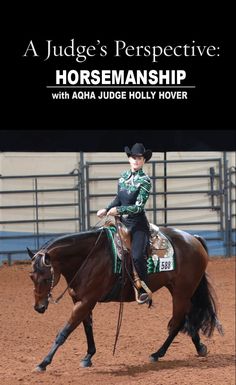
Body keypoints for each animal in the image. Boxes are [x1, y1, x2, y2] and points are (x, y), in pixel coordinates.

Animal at [27, 224, 223, 370]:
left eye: (47, 278)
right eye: (31, 277)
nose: (39, 307)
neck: (89, 257)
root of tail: (194, 238)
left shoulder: (86, 301)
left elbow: (64, 331)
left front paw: (43, 363)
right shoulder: (80, 301)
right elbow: (87, 327)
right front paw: (88, 356)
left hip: (182, 292)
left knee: (178, 322)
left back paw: (157, 354)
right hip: (179, 290)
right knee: (188, 319)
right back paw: (200, 348)